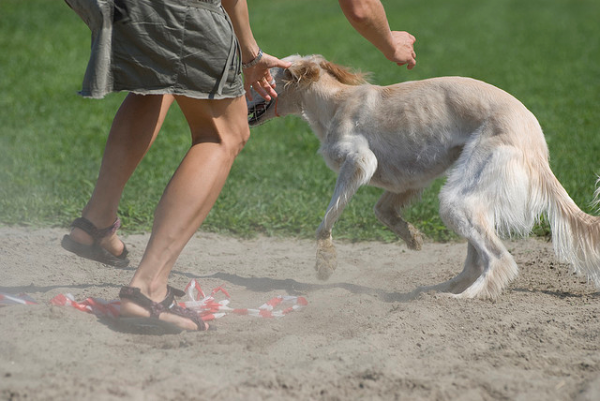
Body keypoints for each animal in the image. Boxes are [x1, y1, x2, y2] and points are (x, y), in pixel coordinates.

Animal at [245, 54, 600, 296]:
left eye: (262, 77)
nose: (239, 93)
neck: (333, 102)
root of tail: (535, 142)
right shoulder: (409, 180)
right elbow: (382, 210)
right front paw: (412, 237)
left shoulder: (360, 162)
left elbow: (326, 222)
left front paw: (324, 264)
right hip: (470, 193)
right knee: (477, 259)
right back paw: (440, 291)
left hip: (459, 196)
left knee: (499, 259)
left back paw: (467, 298)